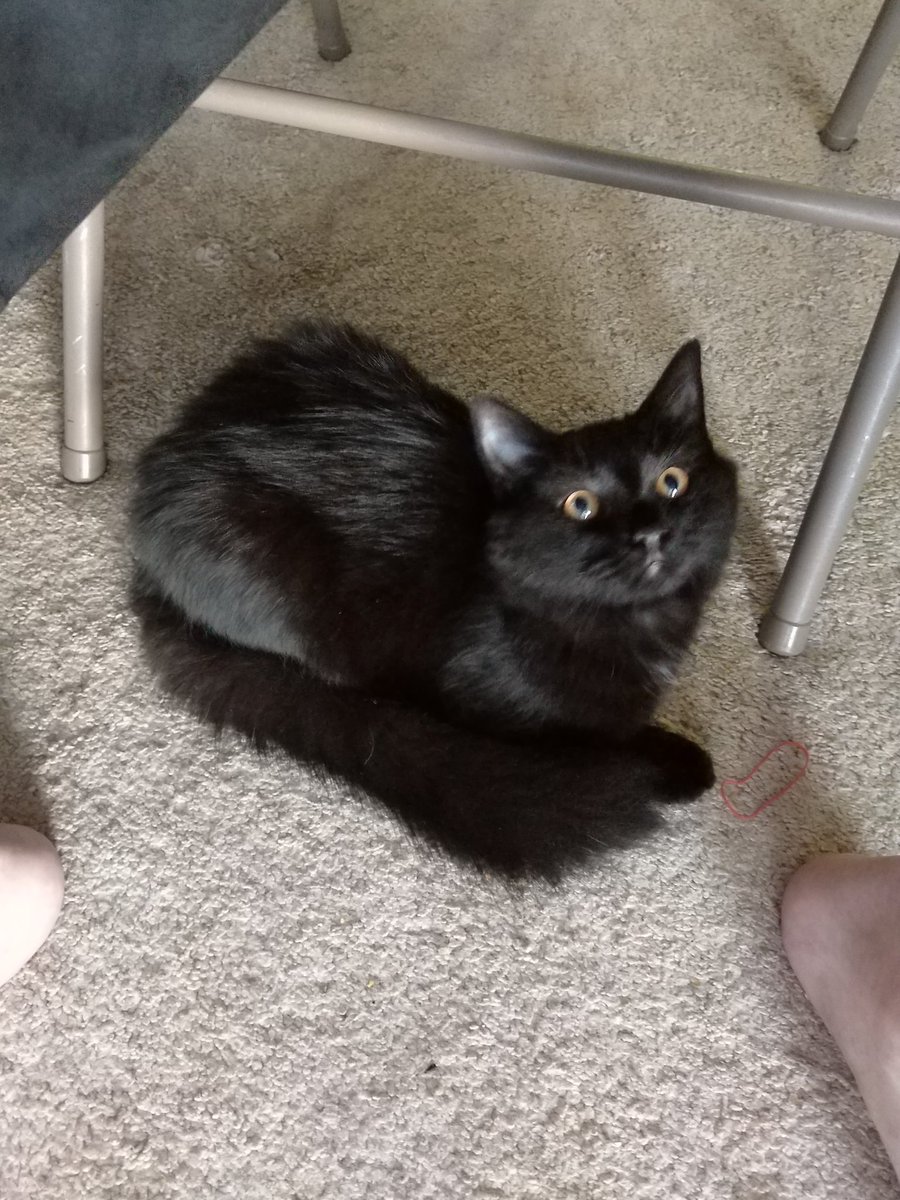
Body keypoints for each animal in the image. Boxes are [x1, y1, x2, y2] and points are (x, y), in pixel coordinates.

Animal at [129, 320, 737, 878]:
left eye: (672, 482)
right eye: (580, 505)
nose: (650, 534)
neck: (639, 626)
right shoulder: (485, 706)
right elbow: (596, 740)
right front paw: (668, 764)